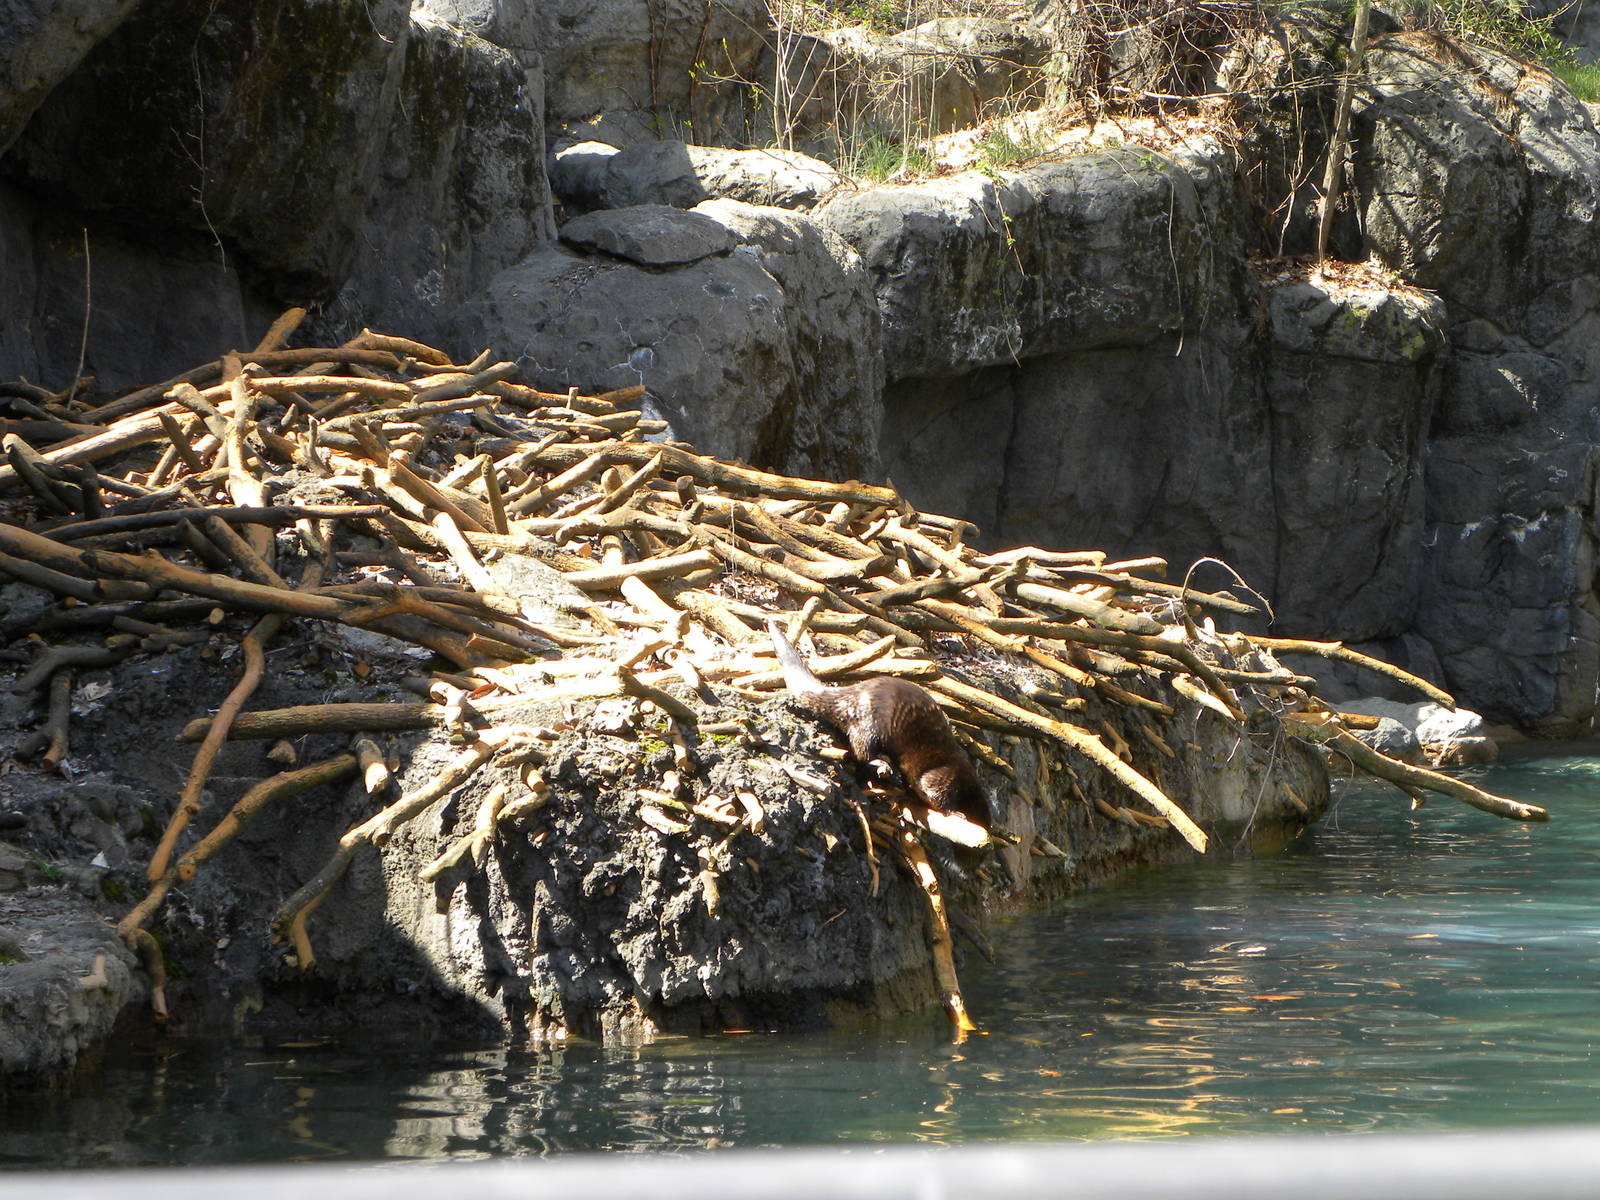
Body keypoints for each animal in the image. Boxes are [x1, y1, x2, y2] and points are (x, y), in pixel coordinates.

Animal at [766, 618, 991, 831]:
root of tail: (851, 694)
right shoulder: (946, 775)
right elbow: (933, 792)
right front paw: (956, 813)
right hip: (868, 724)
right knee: (862, 752)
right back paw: (881, 765)